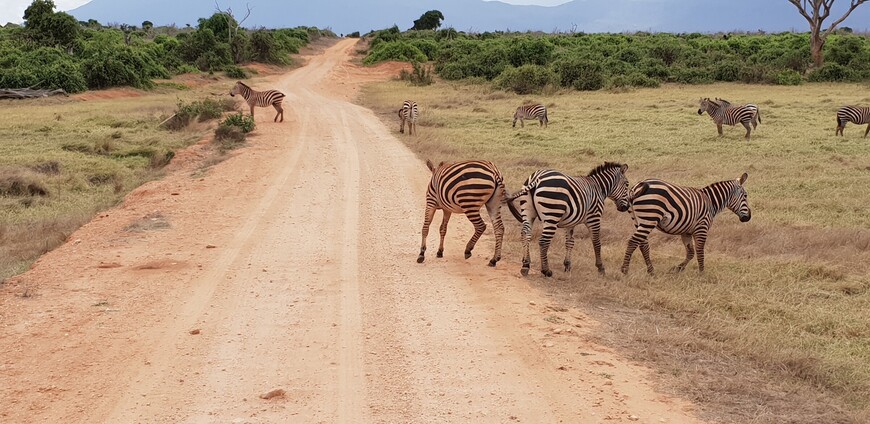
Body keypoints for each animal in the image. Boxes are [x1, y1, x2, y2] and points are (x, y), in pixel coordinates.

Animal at [624, 173, 752, 274]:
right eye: (745, 196)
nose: (748, 217)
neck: (710, 202)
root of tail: (637, 186)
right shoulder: (702, 227)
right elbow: (700, 251)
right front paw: (701, 273)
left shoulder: (686, 232)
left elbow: (690, 252)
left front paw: (678, 268)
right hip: (650, 217)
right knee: (633, 241)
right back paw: (625, 270)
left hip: (638, 220)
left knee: (642, 244)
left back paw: (651, 271)